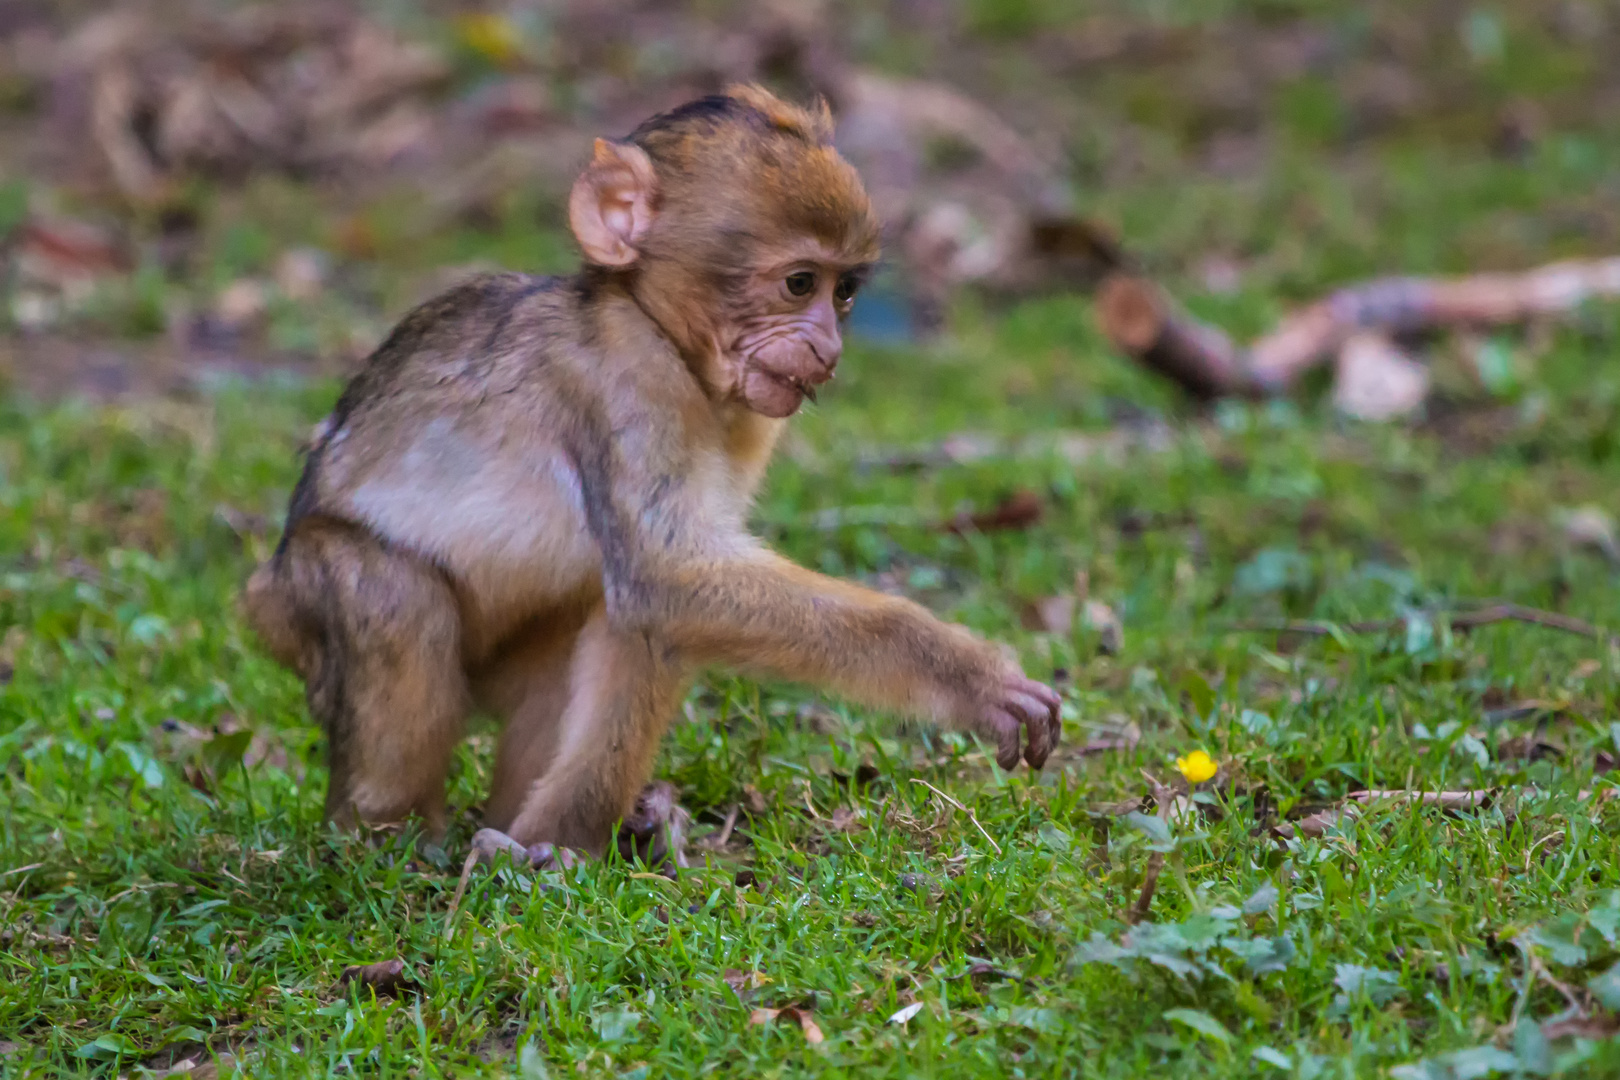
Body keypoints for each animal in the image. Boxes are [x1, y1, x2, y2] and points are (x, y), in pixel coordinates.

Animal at [234, 82, 1056, 861]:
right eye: (799, 284)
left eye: (844, 290)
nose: (827, 348)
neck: (667, 335)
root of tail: (264, 599)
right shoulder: (629, 380)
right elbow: (668, 574)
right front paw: (965, 676)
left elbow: (667, 594)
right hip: (305, 605)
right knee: (397, 596)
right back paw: (392, 840)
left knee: (618, 617)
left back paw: (546, 840)